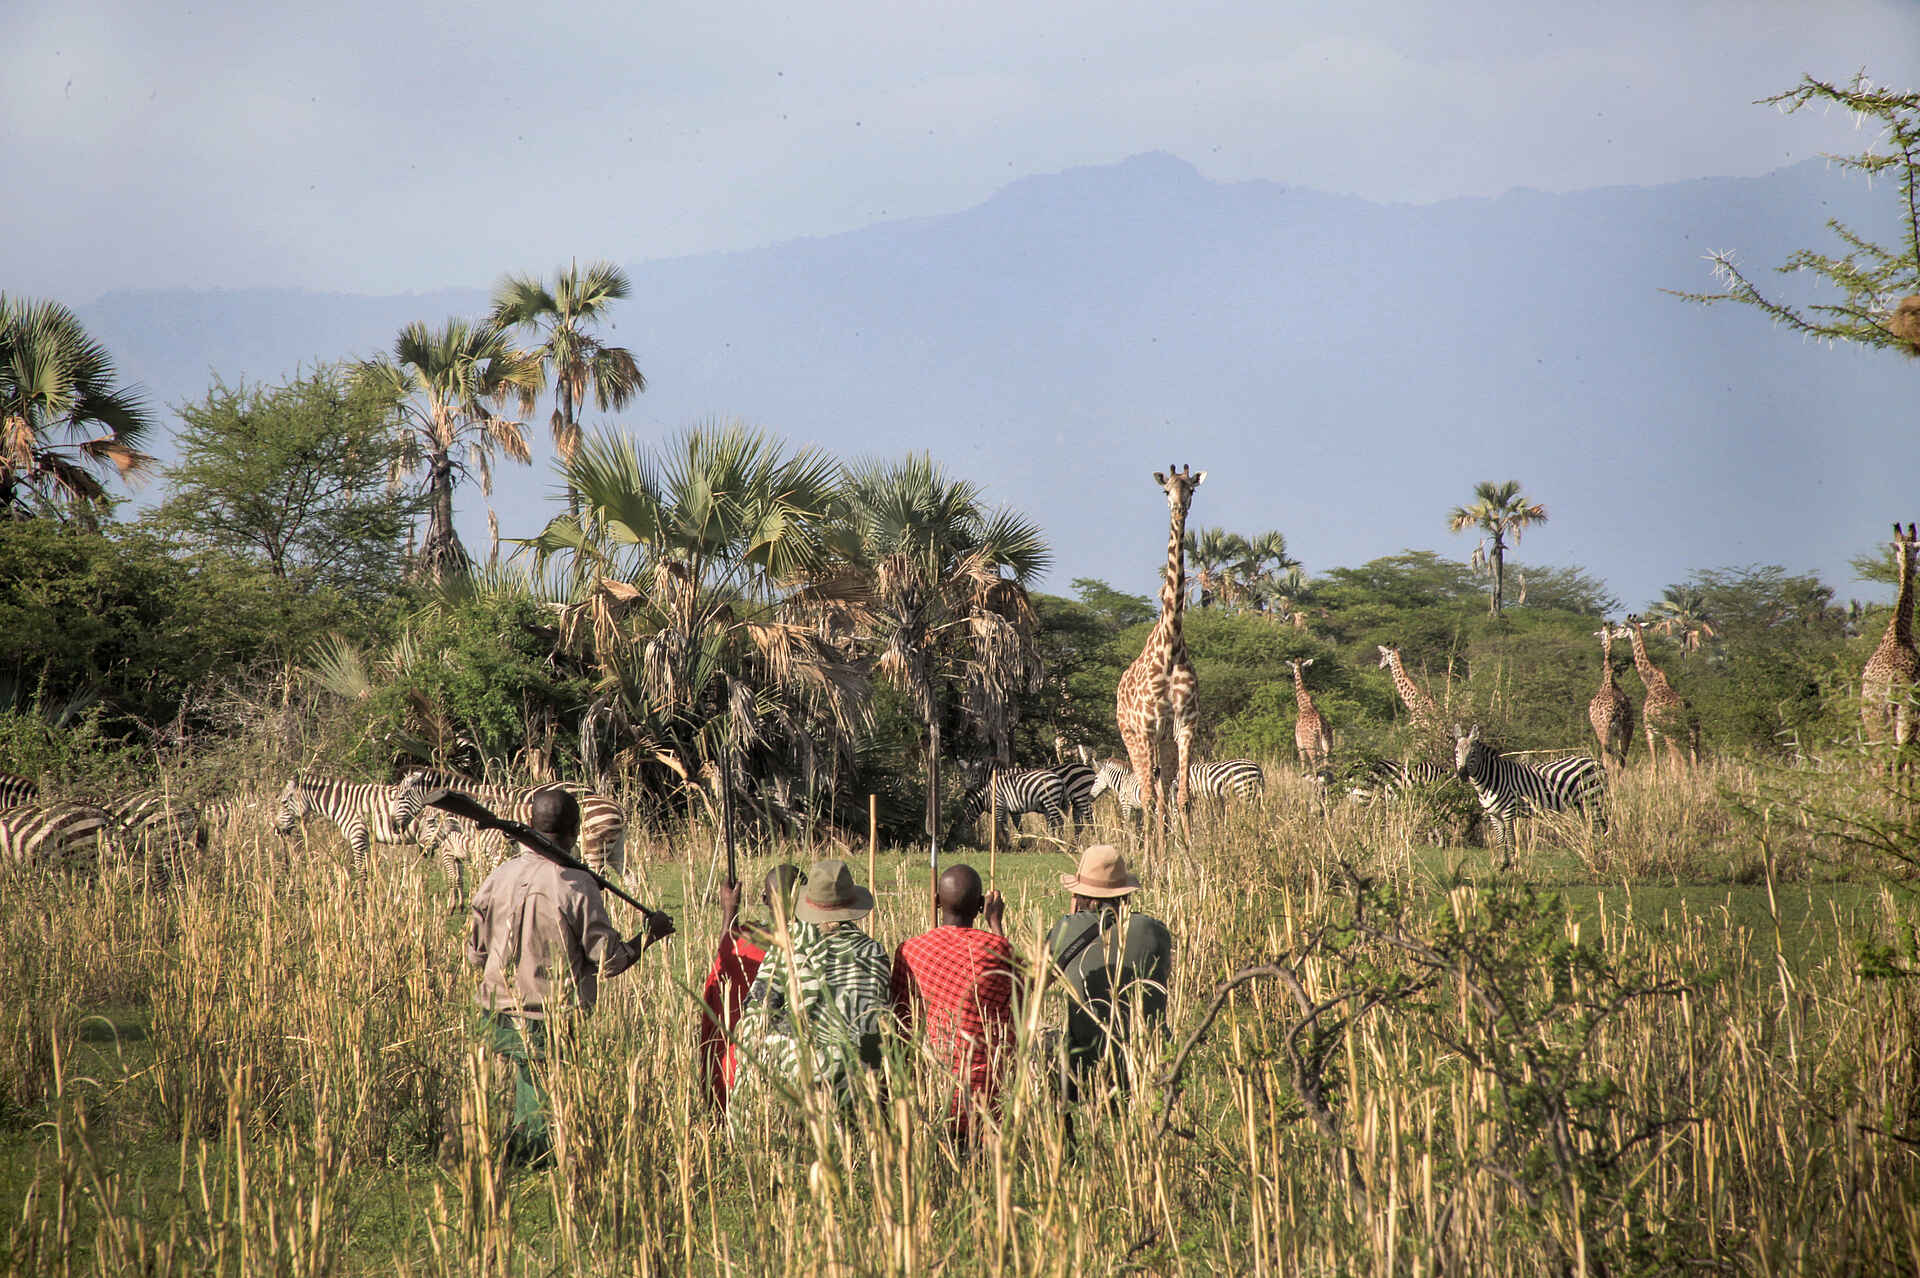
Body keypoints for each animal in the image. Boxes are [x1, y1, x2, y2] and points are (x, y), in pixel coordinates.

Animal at [1452, 725, 1608, 866]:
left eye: (1473, 752)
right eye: (1456, 752)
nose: (1462, 775)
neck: (1491, 780)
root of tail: (1596, 761)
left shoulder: (1508, 812)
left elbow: (1510, 839)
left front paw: (1513, 867)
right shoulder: (1494, 815)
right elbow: (1500, 840)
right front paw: (1502, 866)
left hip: (1593, 799)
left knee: (1601, 829)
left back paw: (1602, 858)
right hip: (1581, 805)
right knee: (1594, 829)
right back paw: (1594, 856)